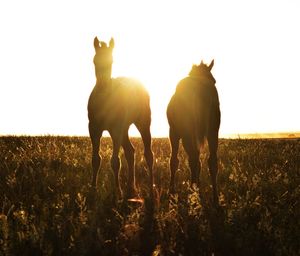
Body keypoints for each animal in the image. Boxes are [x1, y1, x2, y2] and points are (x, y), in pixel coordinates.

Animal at [86, 37, 152, 199]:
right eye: (94, 60)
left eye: (111, 61)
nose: (103, 85)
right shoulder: (94, 129)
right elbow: (95, 159)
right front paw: (93, 189)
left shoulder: (115, 129)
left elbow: (115, 161)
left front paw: (117, 192)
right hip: (124, 129)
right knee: (130, 151)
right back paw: (130, 189)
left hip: (142, 123)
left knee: (148, 154)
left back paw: (150, 189)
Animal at [166, 60, 220, 204]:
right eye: (214, 80)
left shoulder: (174, 132)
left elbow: (174, 160)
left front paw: (172, 191)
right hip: (213, 130)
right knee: (211, 160)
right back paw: (214, 198)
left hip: (187, 131)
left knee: (193, 158)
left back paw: (193, 191)